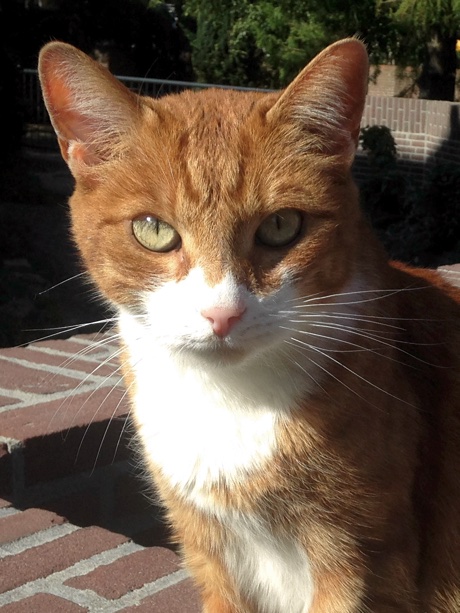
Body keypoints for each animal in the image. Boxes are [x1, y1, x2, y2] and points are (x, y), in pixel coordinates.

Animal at [38, 39, 460, 612]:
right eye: (153, 231)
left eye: (281, 226)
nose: (222, 313)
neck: (230, 401)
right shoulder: (212, 556)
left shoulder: (363, 564)